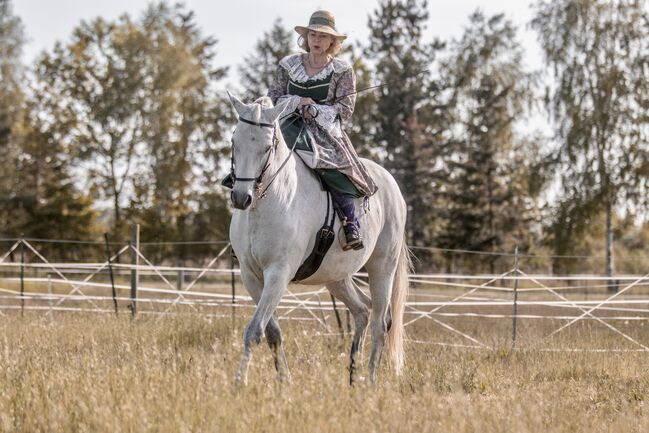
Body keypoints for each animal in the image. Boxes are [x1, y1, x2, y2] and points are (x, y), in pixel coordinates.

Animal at [228, 93, 408, 384]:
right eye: (235, 142)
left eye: (267, 148)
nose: (241, 198)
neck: (272, 200)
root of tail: (391, 184)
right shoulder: (250, 274)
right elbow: (272, 332)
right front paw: (284, 381)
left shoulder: (279, 273)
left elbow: (255, 330)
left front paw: (239, 382)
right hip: (336, 276)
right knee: (362, 310)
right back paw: (352, 376)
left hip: (383, 267)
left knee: (380, 323)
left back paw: (370, 381)